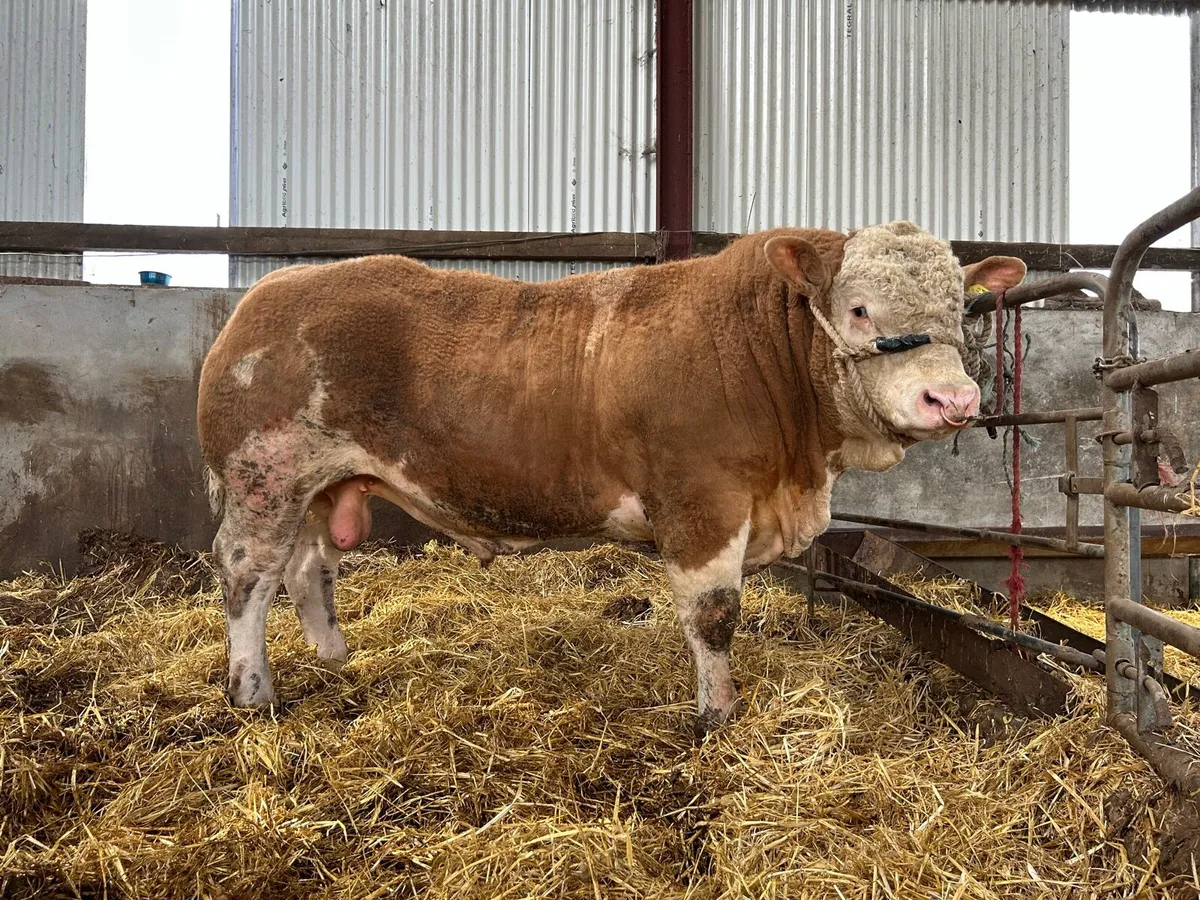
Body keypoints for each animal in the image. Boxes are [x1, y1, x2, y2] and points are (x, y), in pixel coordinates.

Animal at [197, 220, 1026, 735]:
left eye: (963, 307)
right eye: (858, 309)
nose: (952, 400)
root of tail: (269, 295)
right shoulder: (701, 501)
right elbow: (713, 616)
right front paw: (717, 715)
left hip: (325, 485)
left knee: (308, 569)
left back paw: (335, 658)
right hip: (265, 477)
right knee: (247, 577)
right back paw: (253, 693)